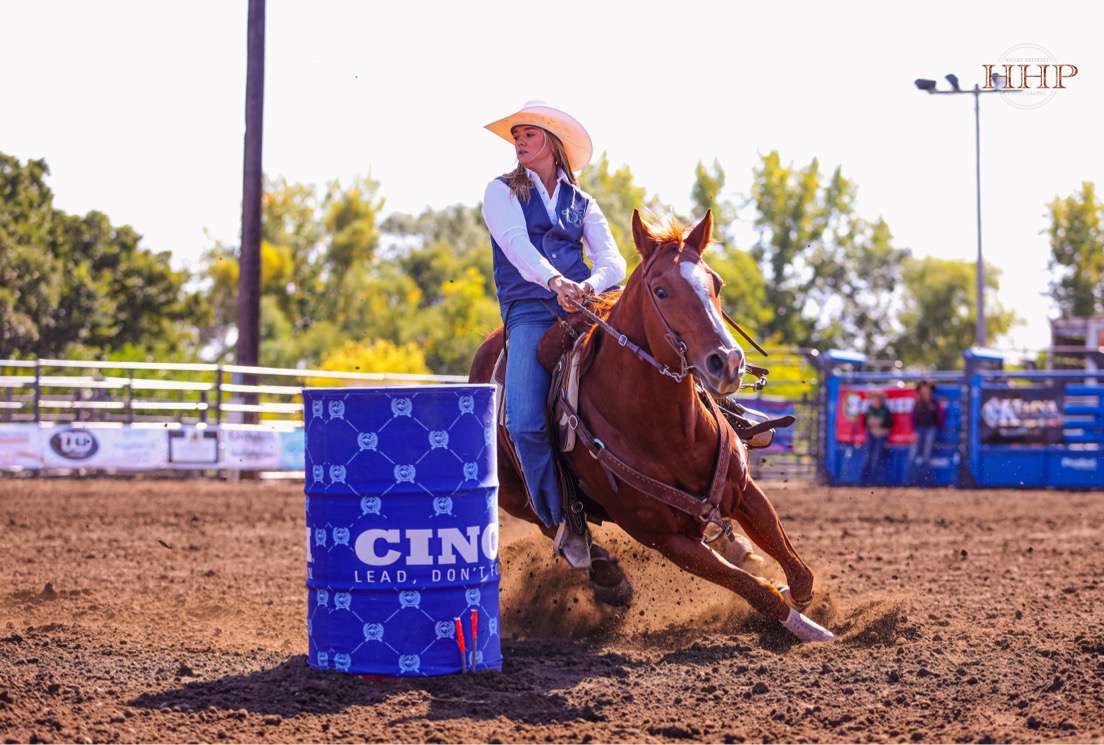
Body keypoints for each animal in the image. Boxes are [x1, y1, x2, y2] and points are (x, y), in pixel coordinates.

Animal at [470, 208, 830, 640]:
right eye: (660, 290)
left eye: (716, 284)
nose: (727, 362)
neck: (666, 431)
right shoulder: (664, 537)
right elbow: (756, 589)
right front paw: (811, 630)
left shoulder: (744, 489)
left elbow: (799, 572)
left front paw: (803, 601)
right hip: (515, 496)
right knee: (550, 521)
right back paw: (607, 576)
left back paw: (737, 547)